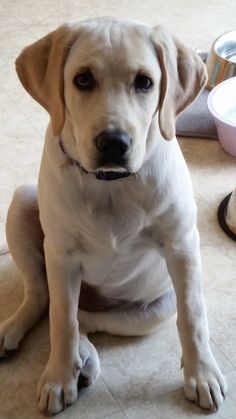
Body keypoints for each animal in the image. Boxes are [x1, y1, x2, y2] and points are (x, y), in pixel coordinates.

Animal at [0, 17, 228, 416]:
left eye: (145, 82)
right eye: (82, 79)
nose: (113, 143)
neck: (110, 184)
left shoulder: (182, 247)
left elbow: (193, 317)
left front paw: (202, 375)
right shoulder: (60, 255)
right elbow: (60, 322)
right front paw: (57, 378)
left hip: (155, 310)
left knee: (85, 318)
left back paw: (85, 360)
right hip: (23, 201)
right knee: (46, 299)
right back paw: (17, 332)